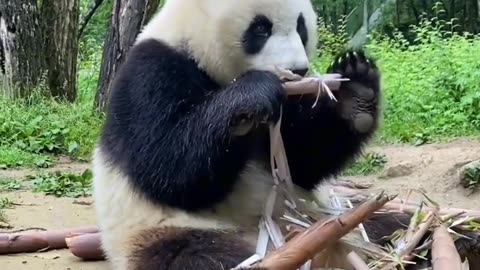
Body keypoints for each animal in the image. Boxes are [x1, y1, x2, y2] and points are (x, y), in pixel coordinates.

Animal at [91, 0, 402, 270]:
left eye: (301, 26)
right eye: (261, 28)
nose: (298, 70)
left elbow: (302, 161)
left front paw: (355, 91)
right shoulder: (152, 71)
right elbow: (169, 169)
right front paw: (252, 96)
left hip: (328, 217)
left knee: (386, 222)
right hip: (164, 234)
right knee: (202, 257)